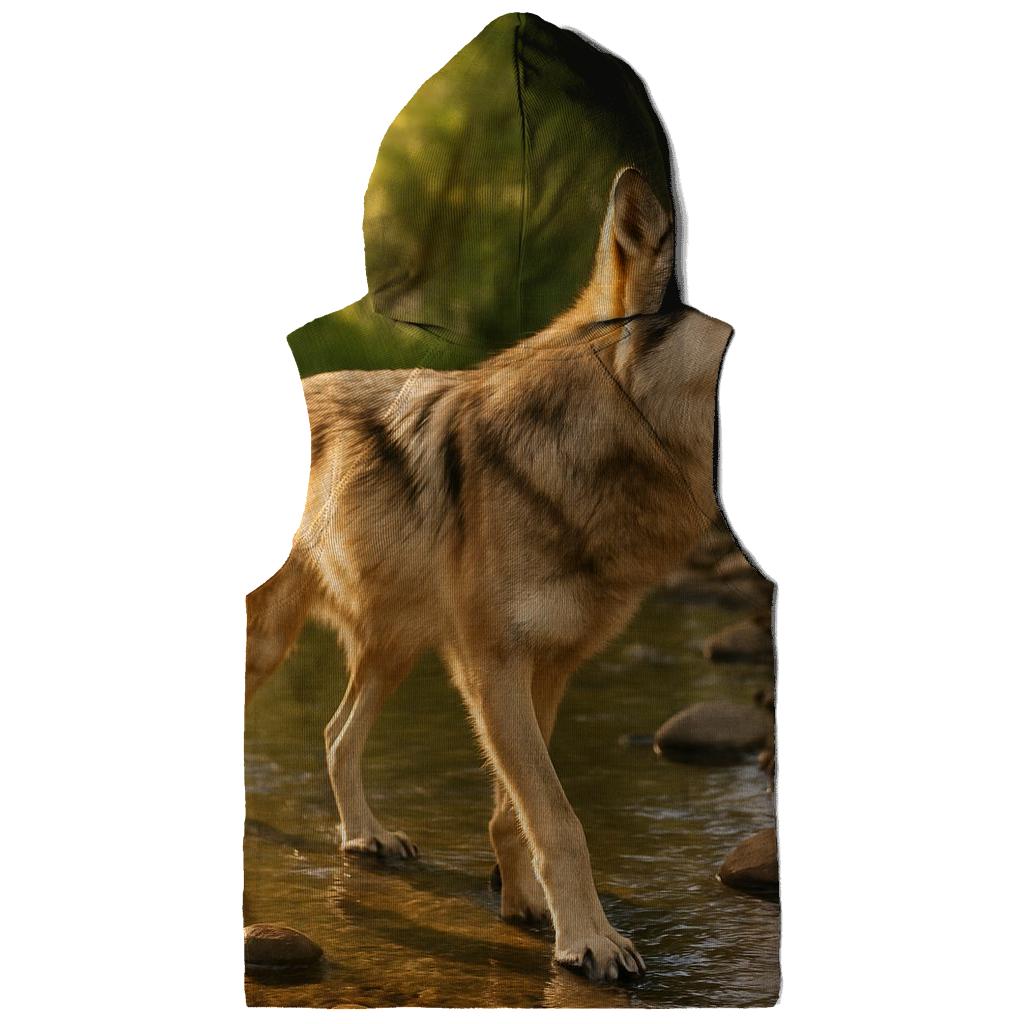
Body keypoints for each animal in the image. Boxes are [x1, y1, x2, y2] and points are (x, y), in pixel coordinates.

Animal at [245, 168, 733, 982]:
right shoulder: (495, 666)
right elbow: (558, 818)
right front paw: (593, 941)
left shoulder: (547, 667)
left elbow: (517, 812)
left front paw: (530, 910)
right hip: (272, 645)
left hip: (394, 650)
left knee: (337, 735)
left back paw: (365, 836)